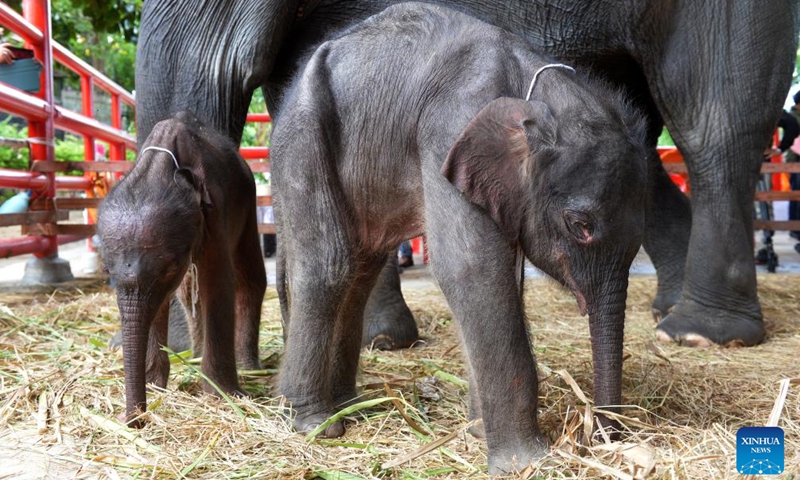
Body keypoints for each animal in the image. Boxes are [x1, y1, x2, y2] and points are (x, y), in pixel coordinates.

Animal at [97, 112, 266, 425]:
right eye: (105, 271)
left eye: (169, 268)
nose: (133, 420)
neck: (161, 167)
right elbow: (162, 301)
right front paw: (155, 386)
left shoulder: (216, 212)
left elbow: (218, 283)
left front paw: (223, 395)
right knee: (188, 293)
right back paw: (197, 355)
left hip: (249, 200)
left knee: (249, 277)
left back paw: (249, 367)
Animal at [271, 4, 648, 473]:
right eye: (579, 224)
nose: (602, 438)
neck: (532, 84)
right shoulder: (445, 134)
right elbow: (472, 270)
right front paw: (524, 464)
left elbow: (503, 279)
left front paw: (477, 431)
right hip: (303, 137)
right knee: (330, 264)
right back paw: (315, 424)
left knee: (360, 267)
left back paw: (348, 407)